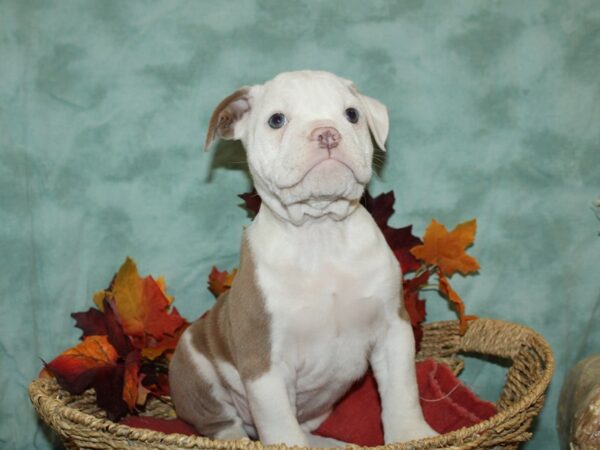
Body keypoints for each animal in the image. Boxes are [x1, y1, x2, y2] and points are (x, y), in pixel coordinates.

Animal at [169, 70, 436, 446]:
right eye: (276, 120)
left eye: (352, 114)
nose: (327, 133)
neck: (319, 231)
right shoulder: (264, 362)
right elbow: (280, 425)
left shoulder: (393, 331)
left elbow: (402, 391)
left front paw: (412, 434)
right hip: (193, 366)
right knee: (220, 424)